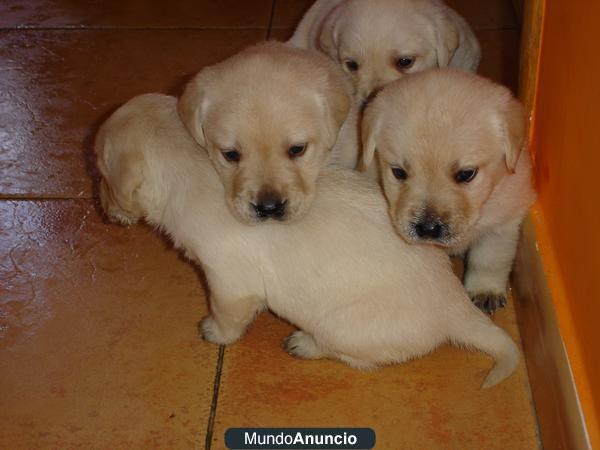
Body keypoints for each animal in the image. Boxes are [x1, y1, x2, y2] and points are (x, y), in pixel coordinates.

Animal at [96, 93, 516, 388]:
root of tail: (456, 308)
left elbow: (227, 315)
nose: (101, 207)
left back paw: (303, 343)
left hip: (343, 326)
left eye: (99, 170)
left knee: (355, 356)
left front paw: (213, 332)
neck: (187, 164)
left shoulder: (229, 283)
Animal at [358, 68, 536, 312]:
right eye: (399, 172)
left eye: (466, 174)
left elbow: (489, 260)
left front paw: (485, 290)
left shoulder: (501, 224)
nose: (428, 228)